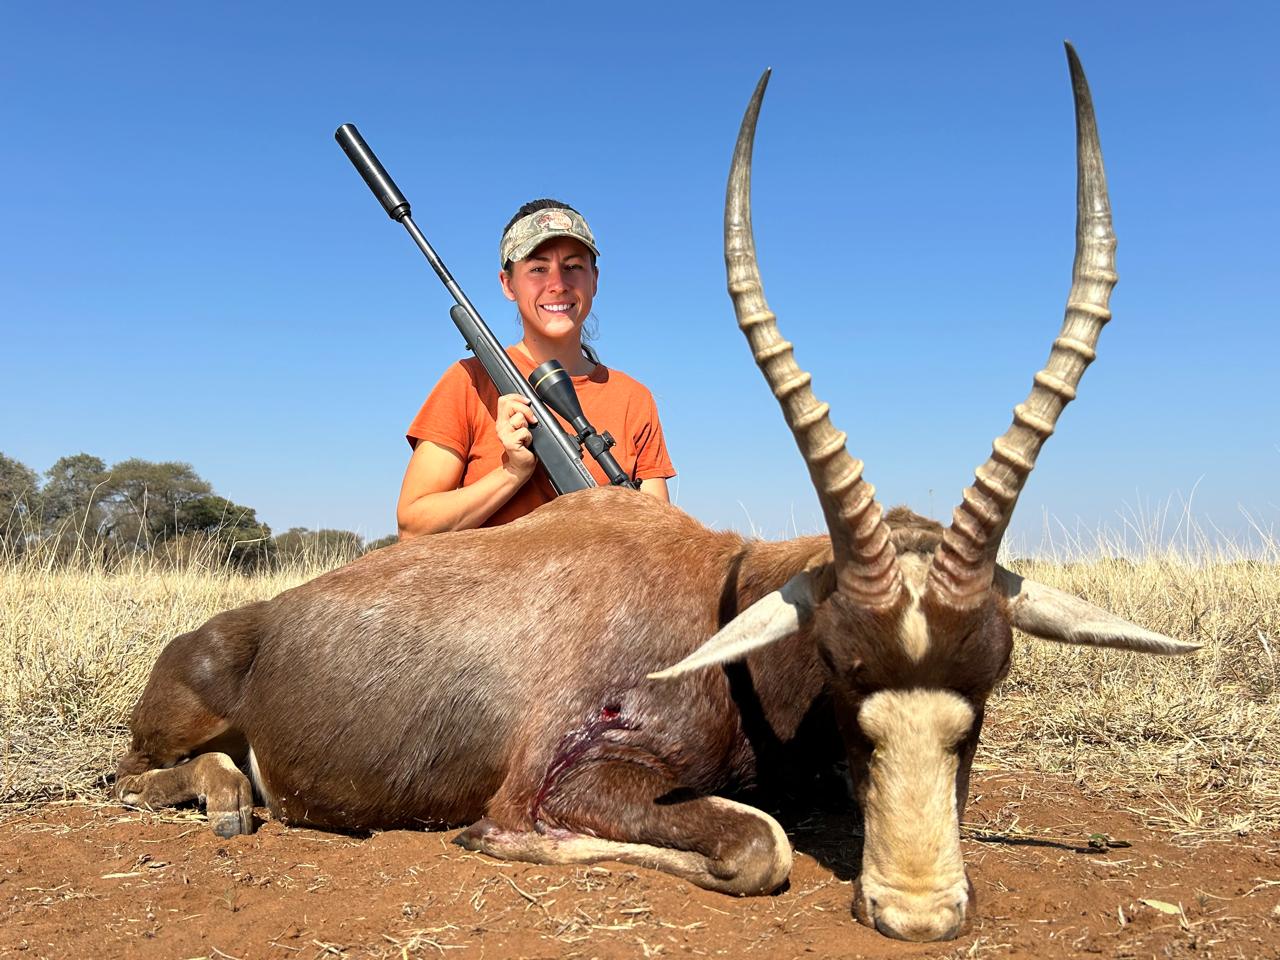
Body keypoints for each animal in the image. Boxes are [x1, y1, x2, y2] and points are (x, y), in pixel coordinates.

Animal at [113, 45, 1197, 943]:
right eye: (840, 663)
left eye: (992, 676)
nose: (917, 912)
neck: (723, 613)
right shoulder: (577, 776)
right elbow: (754, 843)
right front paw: (496, 838)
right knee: (136, 777)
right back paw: (229, 794)